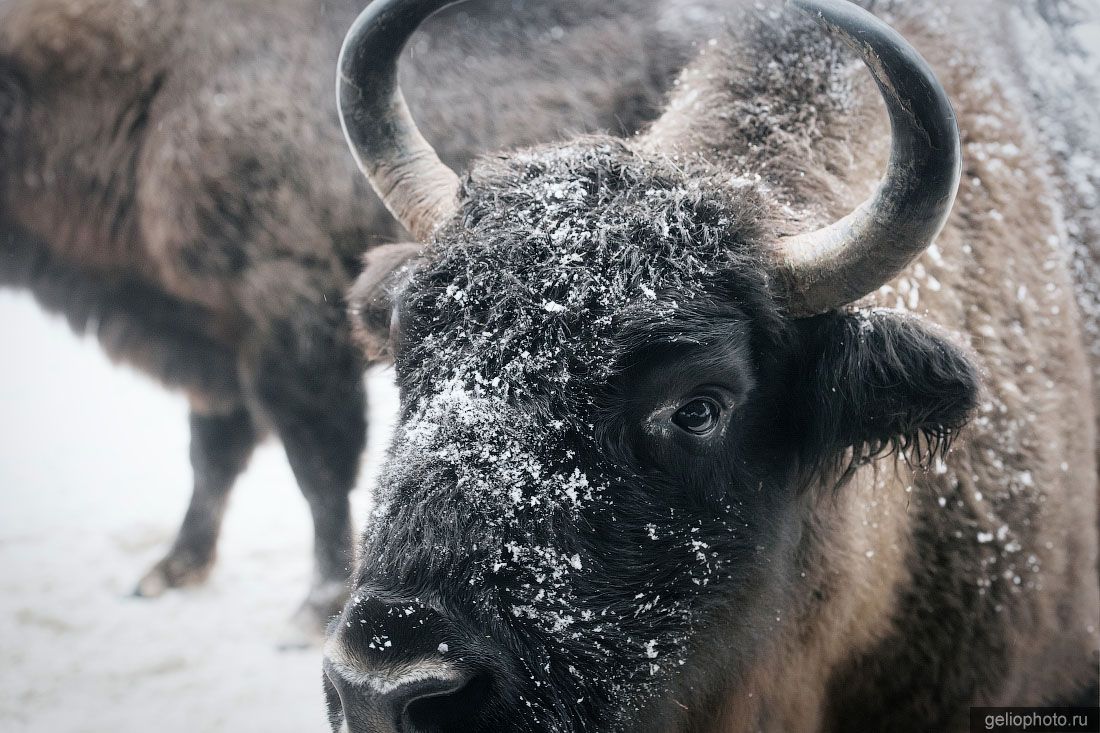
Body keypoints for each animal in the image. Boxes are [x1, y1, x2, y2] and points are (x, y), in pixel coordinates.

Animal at [0, 0, 721, 629]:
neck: (161, 73)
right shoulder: (217, 339)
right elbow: (213, 455)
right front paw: (170, 569)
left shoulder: (288, 325)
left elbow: (316, 467)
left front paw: (312, 608)